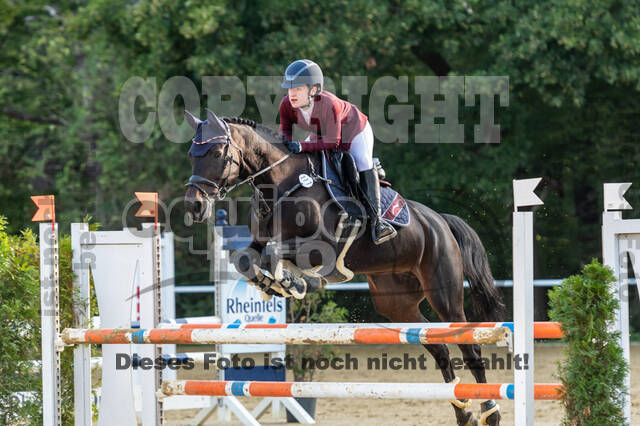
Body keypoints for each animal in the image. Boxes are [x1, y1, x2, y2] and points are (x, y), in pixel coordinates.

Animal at [184, 110, 504, 426]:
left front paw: (294, 283)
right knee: (438, 347)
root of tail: (440, 221)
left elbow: (275, 254)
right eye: (191, 155)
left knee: (470, 347)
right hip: (395, 303)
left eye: (216, 153)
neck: (282, 183)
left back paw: (490, 412)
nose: (194, 207)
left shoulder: (320, 247)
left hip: (444, 293)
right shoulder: (260, 241)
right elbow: (245, 259)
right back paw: (464, 413)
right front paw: (274, 284)